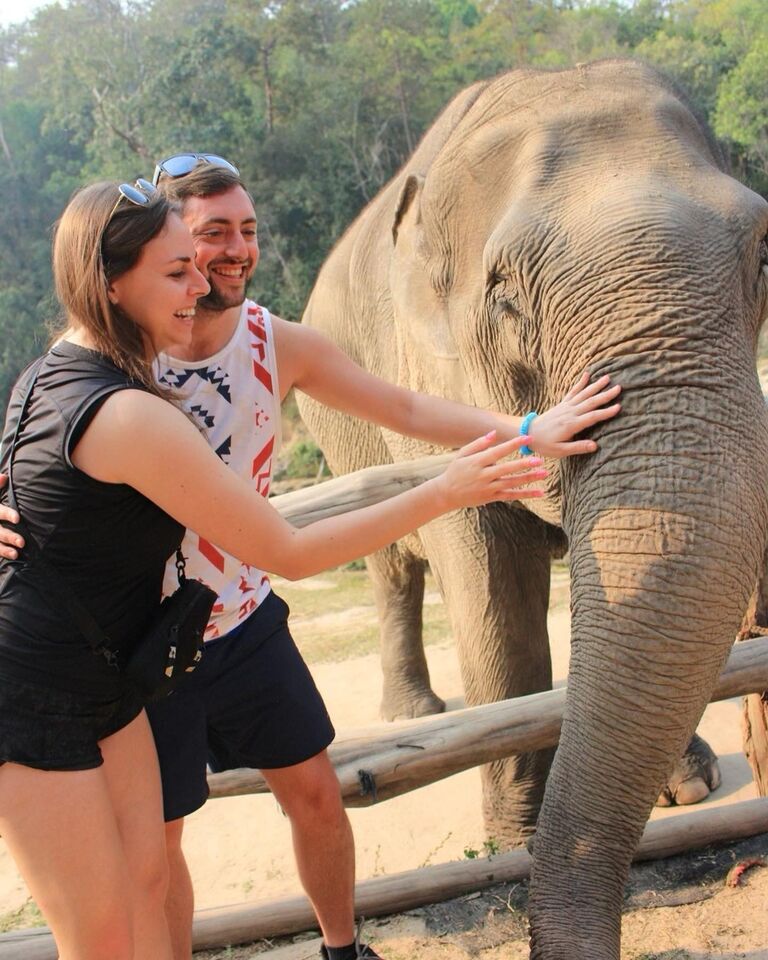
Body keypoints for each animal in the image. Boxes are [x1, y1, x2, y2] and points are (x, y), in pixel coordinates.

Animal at [298, 62, 768, 960]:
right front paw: (510, 843)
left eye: (763, 253)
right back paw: (413, 712)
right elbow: (499, 608)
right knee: (393, 570)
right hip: (344, 437)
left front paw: (685, 791)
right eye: (505, 296)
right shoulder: (426, 376)